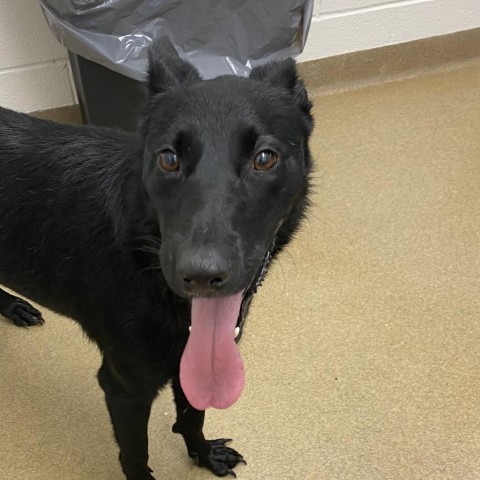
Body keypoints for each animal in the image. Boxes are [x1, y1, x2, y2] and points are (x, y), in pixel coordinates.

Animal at [0, 38, 314, 480]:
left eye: (264, 158)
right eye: (168, 158)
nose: (201, 276)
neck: (142, 255)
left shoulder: (189, 361)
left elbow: (193, 414)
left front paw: (204, 455)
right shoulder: (124, 389)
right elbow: (135, 455)